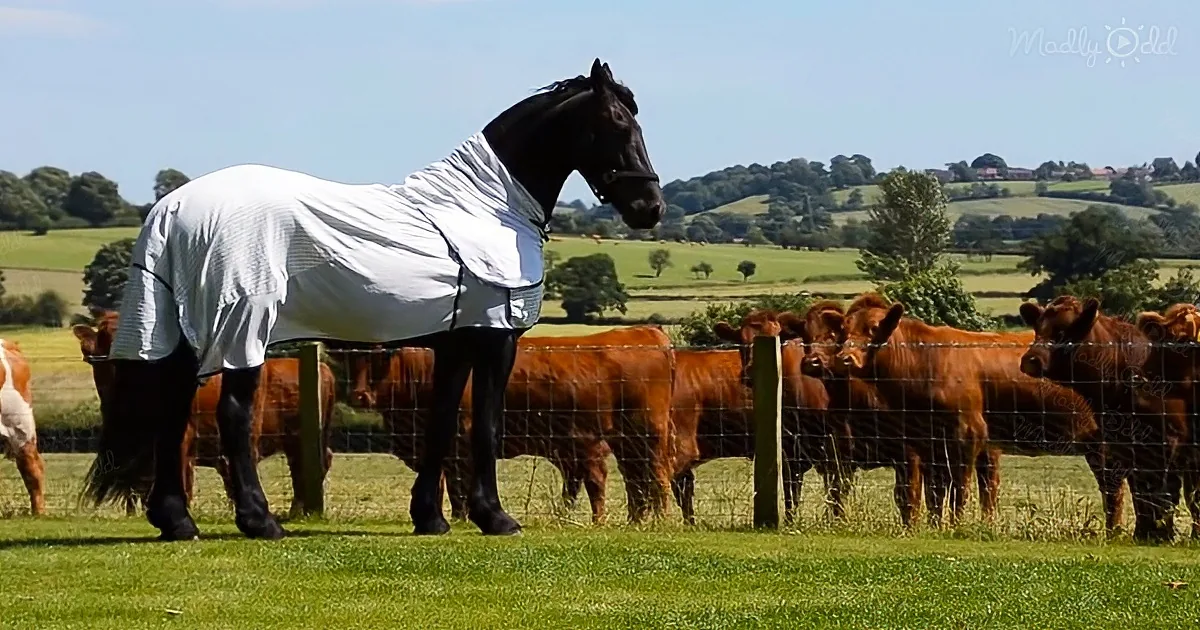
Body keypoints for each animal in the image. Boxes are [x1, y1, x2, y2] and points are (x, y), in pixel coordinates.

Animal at [347, 325, 674, 523]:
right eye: (351, 355)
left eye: (382, 353)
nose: (359, 395)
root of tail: (646, 332)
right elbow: (444, 487)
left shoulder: (460, 443)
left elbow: (457, 487)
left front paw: (461, 519)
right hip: (625, 442)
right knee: (635, 482)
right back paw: (635, 521)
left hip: (645, 435)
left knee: (655, 477)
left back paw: (656, 520)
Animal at [831, 293, 1123, 531]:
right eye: (844, 331)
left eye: (874, 329)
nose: (845, 359)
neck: (924, 362)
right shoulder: (928, 442)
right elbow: (935, 492)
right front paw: (936, 527)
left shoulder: (967, 434)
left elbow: (960, 488)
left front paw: (957, 526)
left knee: (1113, 489)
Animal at [1019, 295, 1194, 542]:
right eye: (1037, 329)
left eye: (1064, 331)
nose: (1030, 360)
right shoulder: (1122, 444)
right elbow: (1140, 490)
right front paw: (1143, 532)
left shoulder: (1169, 440)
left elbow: (1164, 490)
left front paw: (1161, 533)